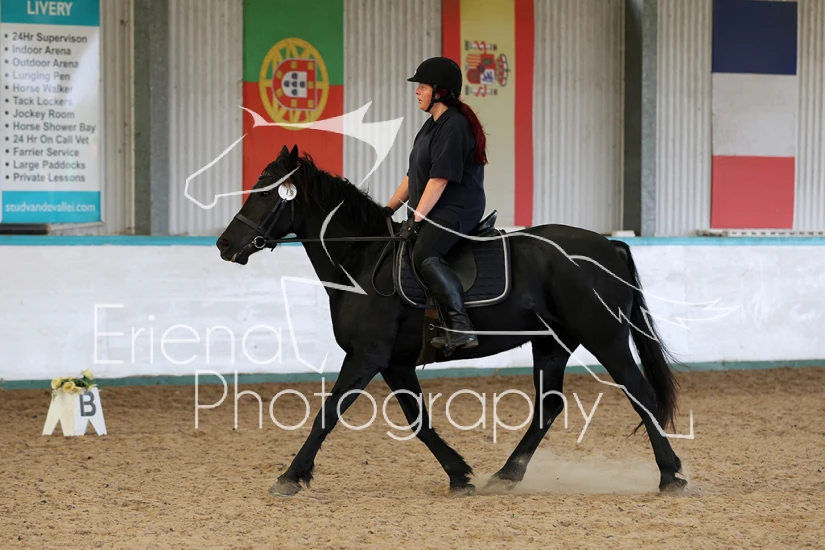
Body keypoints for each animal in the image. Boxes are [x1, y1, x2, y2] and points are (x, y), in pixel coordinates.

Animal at [216, 144, 688, 496]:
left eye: (265, 193)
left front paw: (290, 476)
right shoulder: (394, 362)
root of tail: (609, 246)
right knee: (549, 405)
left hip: (604, 336)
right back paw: (506, 475)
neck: (363, 259)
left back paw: (671, 476)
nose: (224, 245)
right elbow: (418, 420)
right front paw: (460, 475)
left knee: (640, 392)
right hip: (552, 342)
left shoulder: (367, 356)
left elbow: (329, 412)